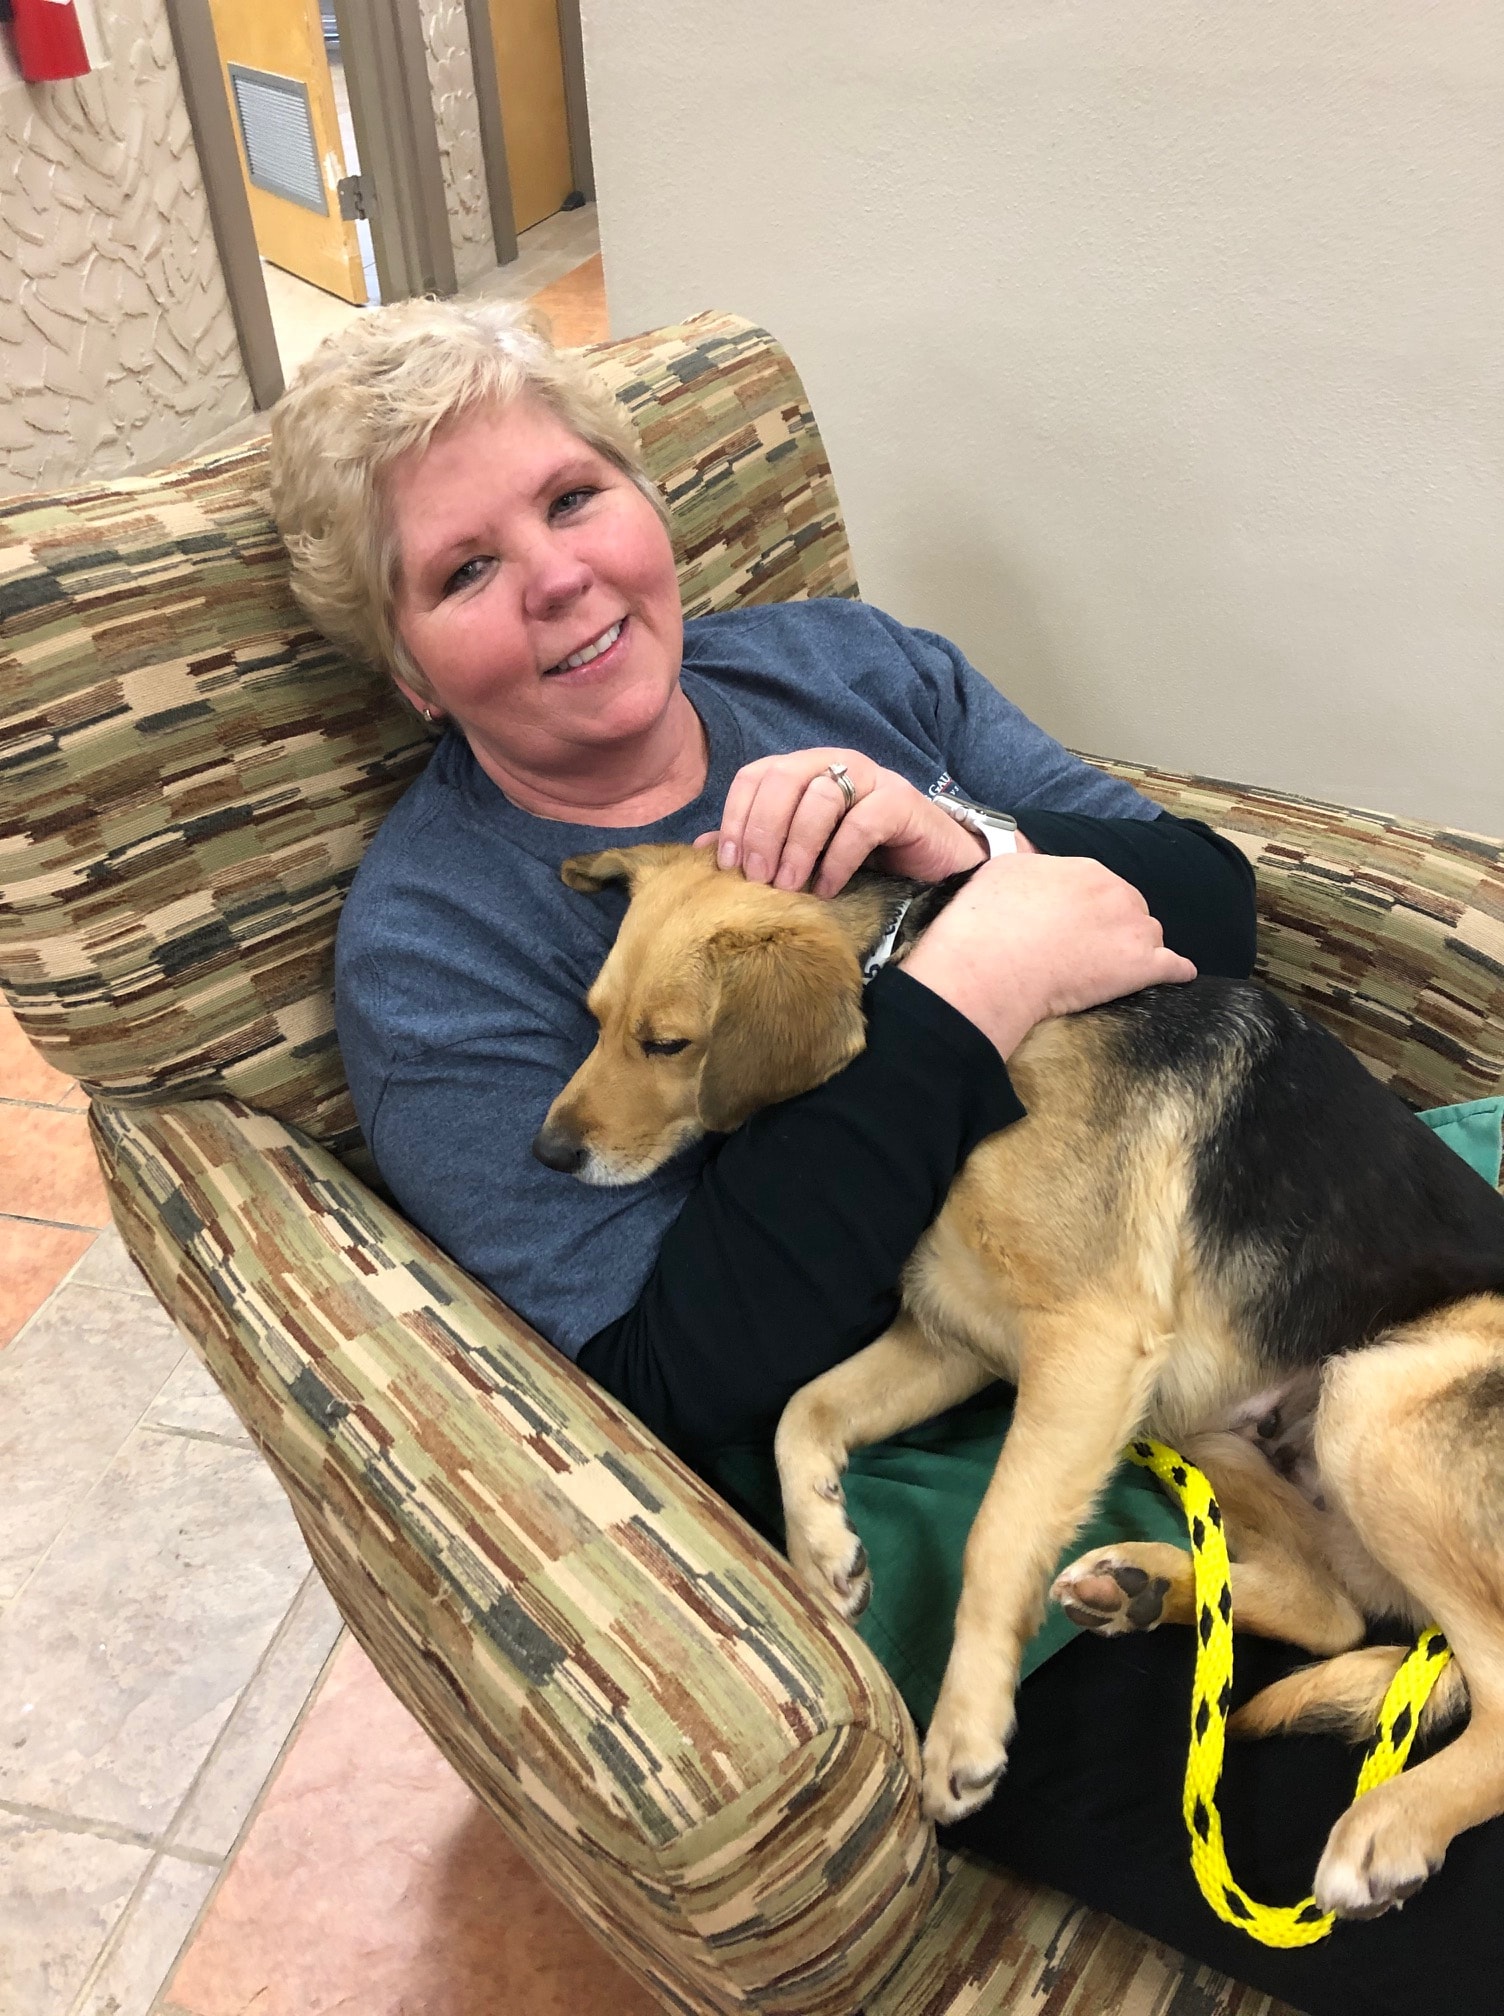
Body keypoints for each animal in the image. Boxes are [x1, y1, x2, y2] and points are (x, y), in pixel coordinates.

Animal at [532, 838, 1499, 1919]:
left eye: (667, 1043)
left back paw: (1394, 1823)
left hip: (1372, 1405)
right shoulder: (956, 1333)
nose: (548, 1154)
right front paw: (819, 1546)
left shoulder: (1086, 1342)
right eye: (595, 1018)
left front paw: (965, 1727)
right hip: (1226, 1427)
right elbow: (801, 1410)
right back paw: (1143, 1586)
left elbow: (997, 1535)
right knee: (1331, 1614)